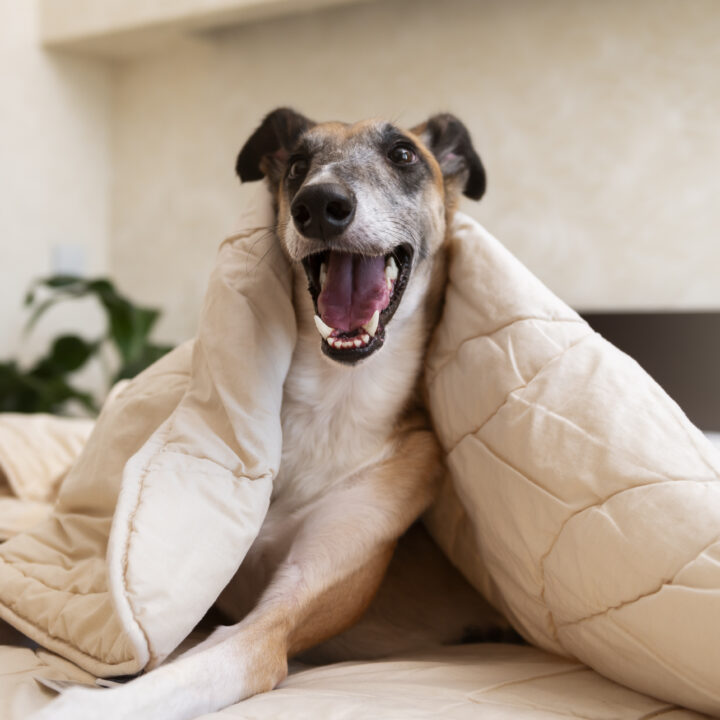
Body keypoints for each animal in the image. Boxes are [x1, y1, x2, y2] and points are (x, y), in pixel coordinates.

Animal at [35, 107, 500, 720]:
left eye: (403, 154)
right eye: (298, 164)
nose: (320, 204)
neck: (332, 401)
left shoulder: (280, 615)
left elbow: (188, 670)